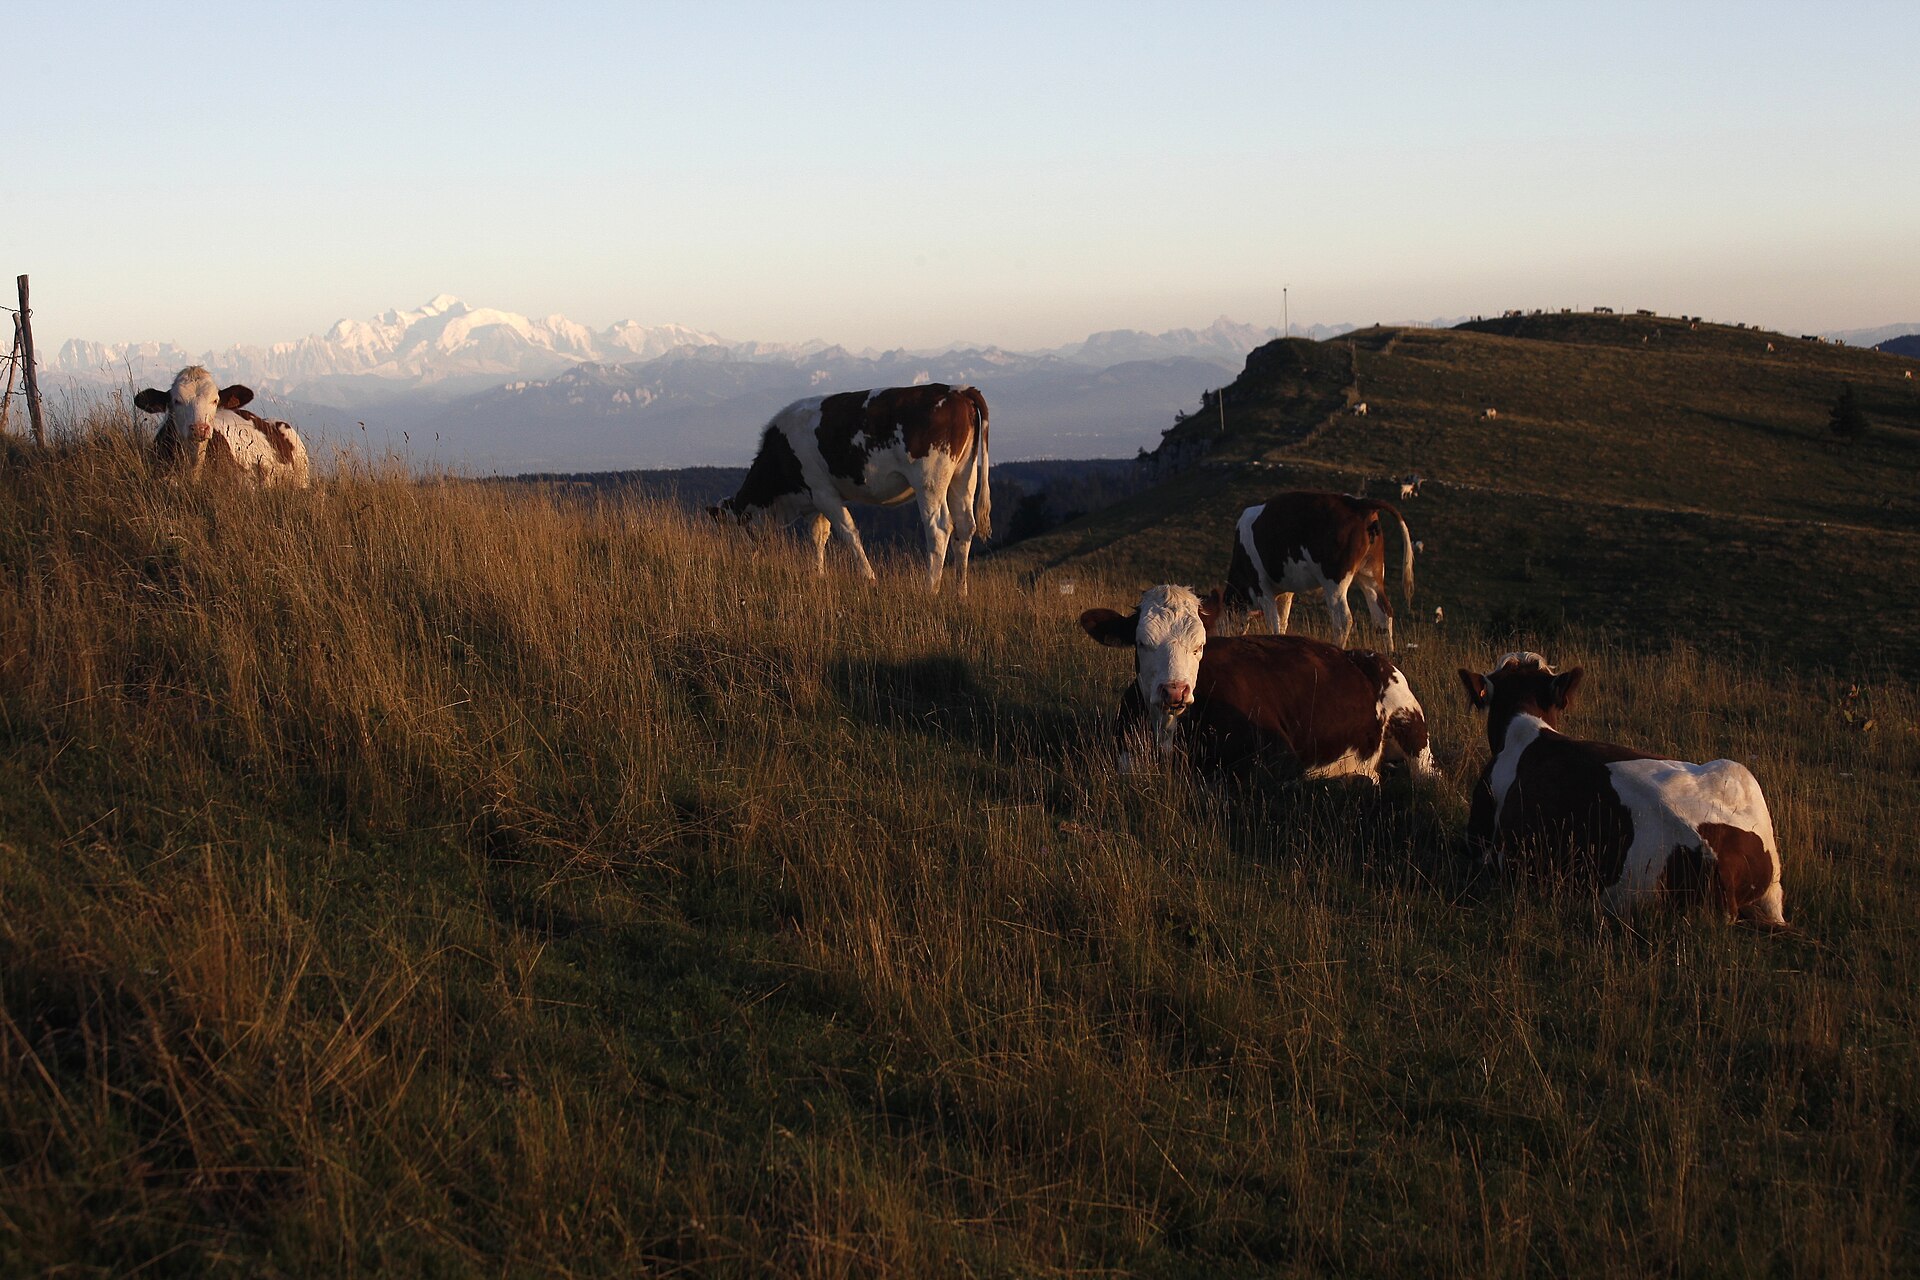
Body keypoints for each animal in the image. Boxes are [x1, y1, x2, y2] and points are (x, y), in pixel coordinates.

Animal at [709, 384, 990, 594]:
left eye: (742, 524)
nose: (748, 559)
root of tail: (957, 390)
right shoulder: (814, 499)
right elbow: (818, 536)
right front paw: (818, 574)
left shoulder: (824, 493)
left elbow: (848, 532)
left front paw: (868, 577)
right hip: (963, 476)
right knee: (965, 526)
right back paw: (960, 593)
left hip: (929, 480)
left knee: (939, 528)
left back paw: (929, 589)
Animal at [1079, 584, 1436, 781]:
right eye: (1142, 643)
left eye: (1199, 646)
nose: (1175, 690)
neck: (1169, 731)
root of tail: (1359, 655)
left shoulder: (1281, 758)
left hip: (1412, 730)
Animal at [1223, 491, 1416, 650]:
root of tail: (1358, 503)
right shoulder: (1285, 592)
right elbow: (1282, 622)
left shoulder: (1262, 587)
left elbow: (1273, 624)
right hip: (1371, 575)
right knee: (1383, 614)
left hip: (1334, 579)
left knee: (1343, 619)